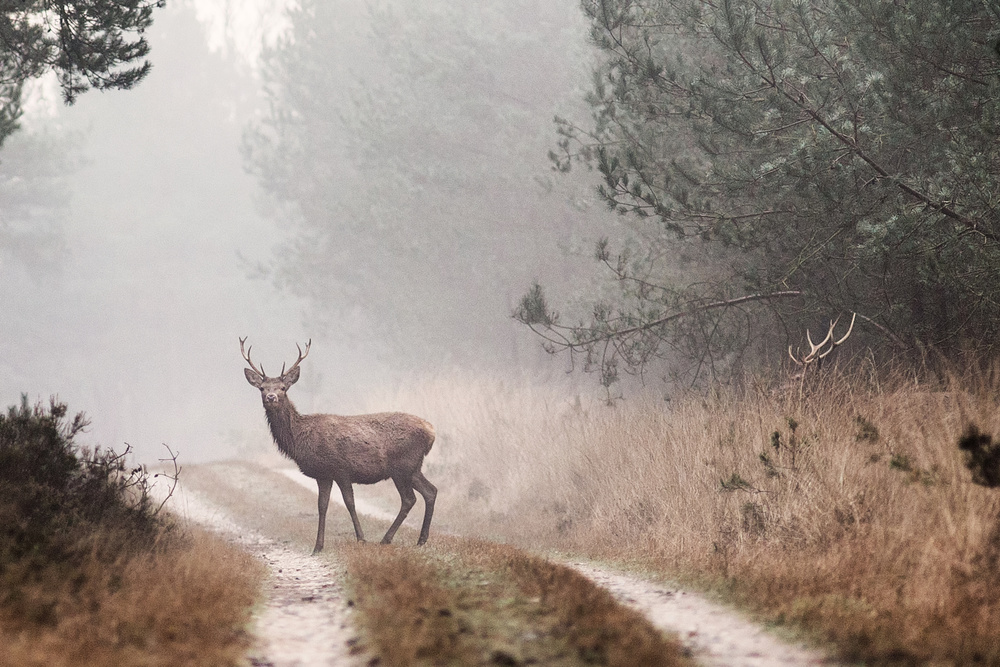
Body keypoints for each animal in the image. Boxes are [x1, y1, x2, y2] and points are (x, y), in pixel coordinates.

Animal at [240, 340, 436, 552]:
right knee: (430, 491)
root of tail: (431, 431)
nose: (271, 397)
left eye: (283, 388)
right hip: (413, 467)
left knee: (409, 499)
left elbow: (349, 503)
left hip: (402, 466)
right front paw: (318, 547)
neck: (300, 440)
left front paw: (361, 539)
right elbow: (322, 506)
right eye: (262, 388)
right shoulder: (323, 474)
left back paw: (387, 538)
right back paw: (421, 540)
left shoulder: (341, 469)